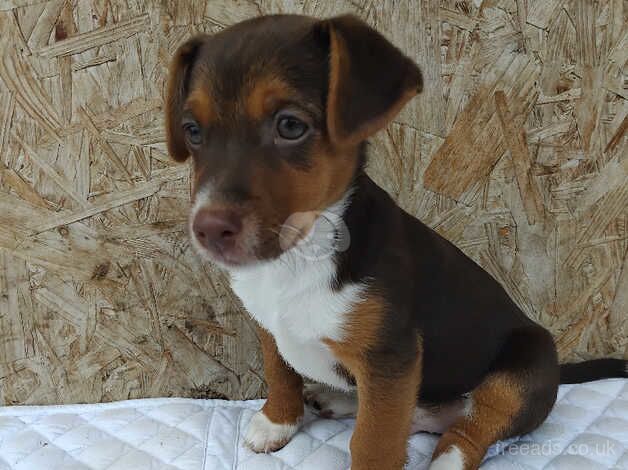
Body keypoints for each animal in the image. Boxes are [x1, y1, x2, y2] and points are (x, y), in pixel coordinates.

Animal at [167, 13, 628, 470]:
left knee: (471, 428)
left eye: (290, 125)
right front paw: (278, 421)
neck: (302, 253)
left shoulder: (389, 357)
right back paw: (336, 398)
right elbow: (281, 375)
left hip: (520, 372)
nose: (209, 229)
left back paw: (447, 460)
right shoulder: (270, 328)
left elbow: (373, 441)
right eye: (192, 131)